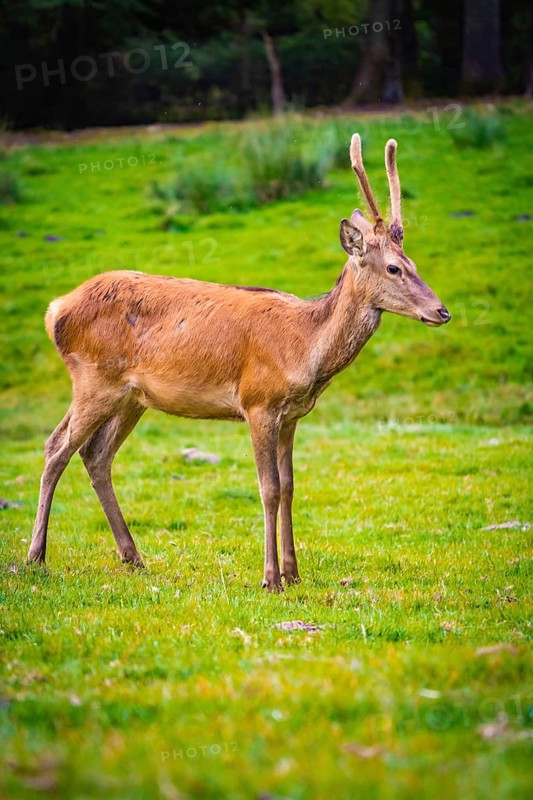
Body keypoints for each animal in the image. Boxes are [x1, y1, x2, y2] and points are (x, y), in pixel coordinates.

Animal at [27, 134, 450, 591]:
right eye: (393, 268)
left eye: (414, 264)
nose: (442, 311)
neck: (304, 350)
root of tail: (55, 310)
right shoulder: (258, 401)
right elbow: (268, 488)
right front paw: (270, 578)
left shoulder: (292, 415)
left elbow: (290, 486)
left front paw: (293, 573)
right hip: (94, 379)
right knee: (56, 447)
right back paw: (36, 556)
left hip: (131, 397)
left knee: (96, 455)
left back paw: (133, 557)